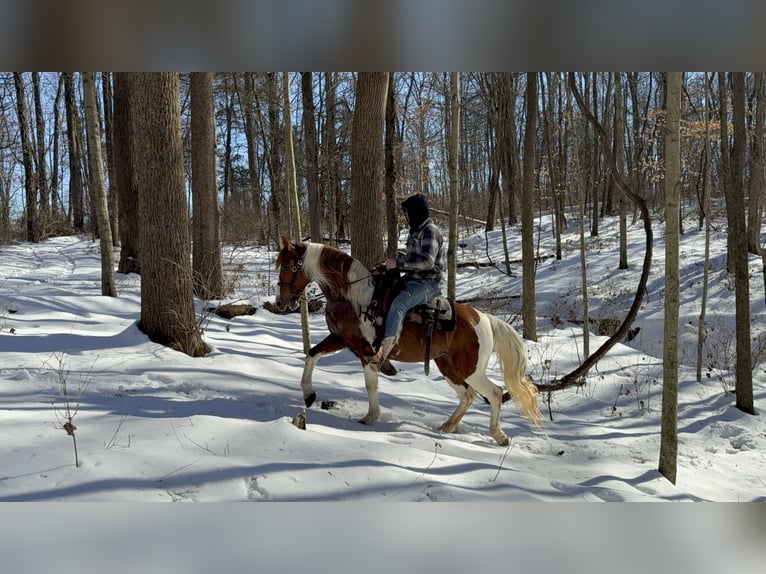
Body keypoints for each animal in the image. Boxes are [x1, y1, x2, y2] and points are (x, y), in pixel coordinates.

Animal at [272, 236, 544, 448]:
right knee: (468, 395)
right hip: (448, 366)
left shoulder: (366, 351)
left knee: (495, 393)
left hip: (471, 370)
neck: (354, 296)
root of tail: (484, 318)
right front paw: (309, 394)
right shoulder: (341, 339)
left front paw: (370, 417)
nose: (281, 302)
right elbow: (311, 354)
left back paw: (498, 435)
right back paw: (448, 426)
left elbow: (370, 385)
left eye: (287, 267)